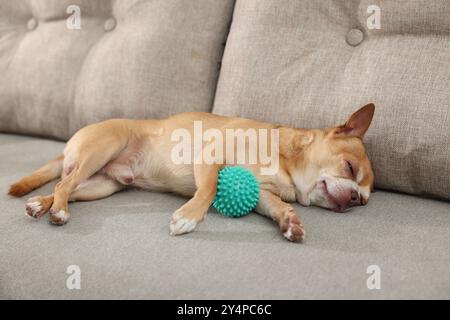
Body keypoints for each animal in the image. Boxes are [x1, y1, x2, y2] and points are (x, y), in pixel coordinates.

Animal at [7, 102, 376, 240]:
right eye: (349, 167)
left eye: (363, 201)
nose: (354, 199)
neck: (285, 164)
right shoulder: (210, 157)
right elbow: (210, 189)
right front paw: (188, 217)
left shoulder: (261, 194)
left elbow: (275, 206)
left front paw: (289, 220)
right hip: (101, 150)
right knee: (64, 184)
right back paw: (57, 211)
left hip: (103, 185)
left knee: (64, 187)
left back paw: (41, 205)